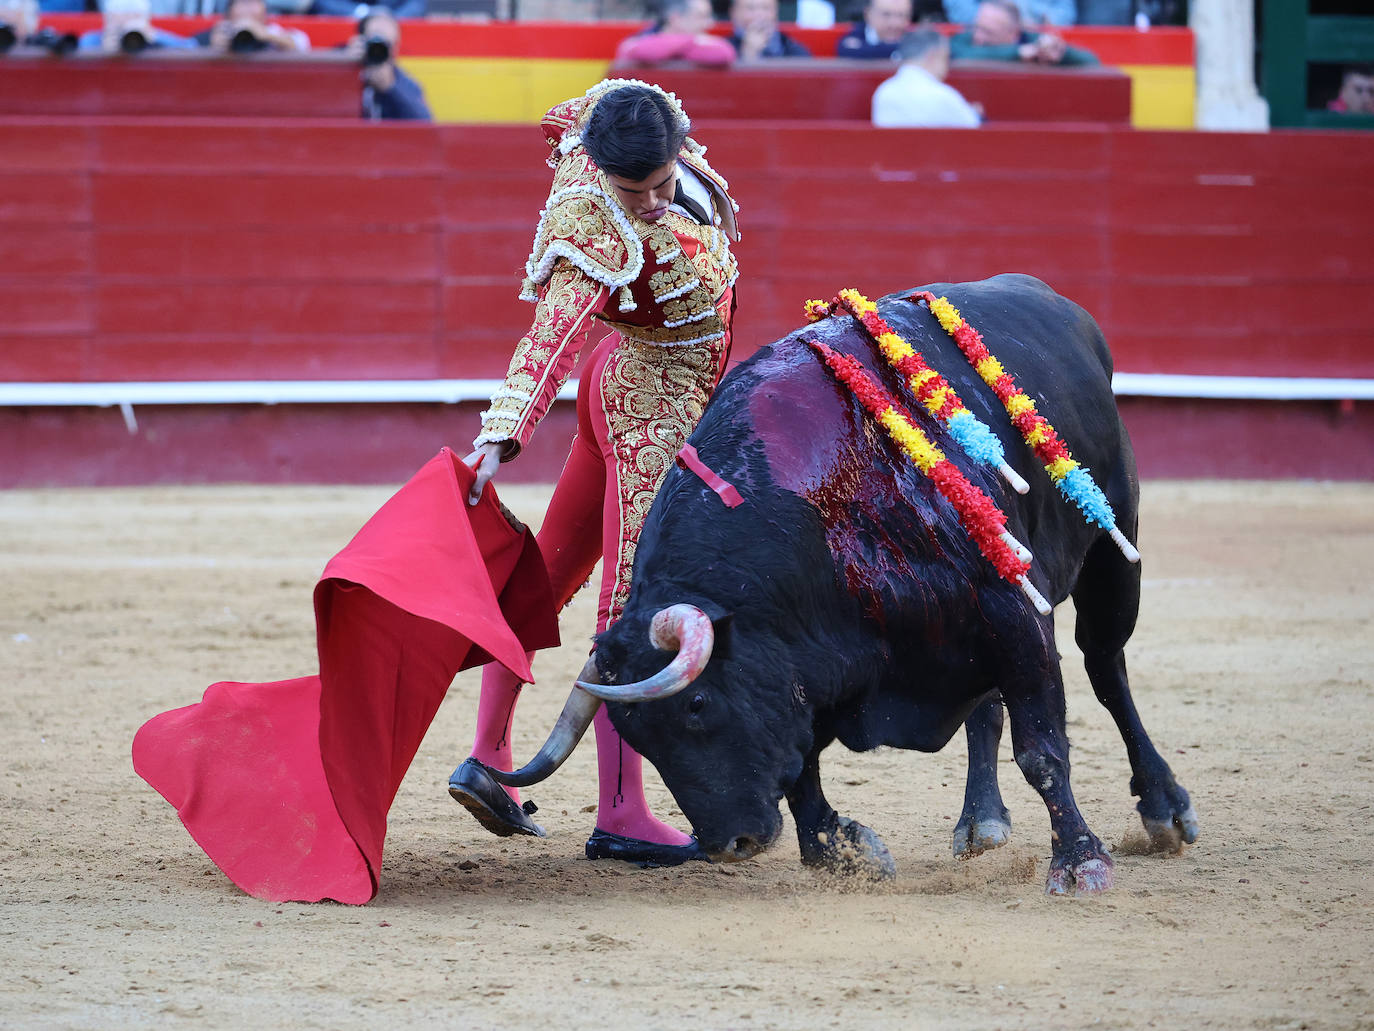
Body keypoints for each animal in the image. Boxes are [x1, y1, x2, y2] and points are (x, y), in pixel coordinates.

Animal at [489, 274, 1198, 896]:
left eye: (696, 706)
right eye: (637, 736)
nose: (730, 844)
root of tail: (1058, 304)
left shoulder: (1013, 612)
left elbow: (1044, 750)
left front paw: (1080, 862)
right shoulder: (815, 664)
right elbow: (801, 765)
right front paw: (841, 851)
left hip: (1113, 549)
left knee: (1107, 670)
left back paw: (1163, 809)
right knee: (989, 707)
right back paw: (981, 822)